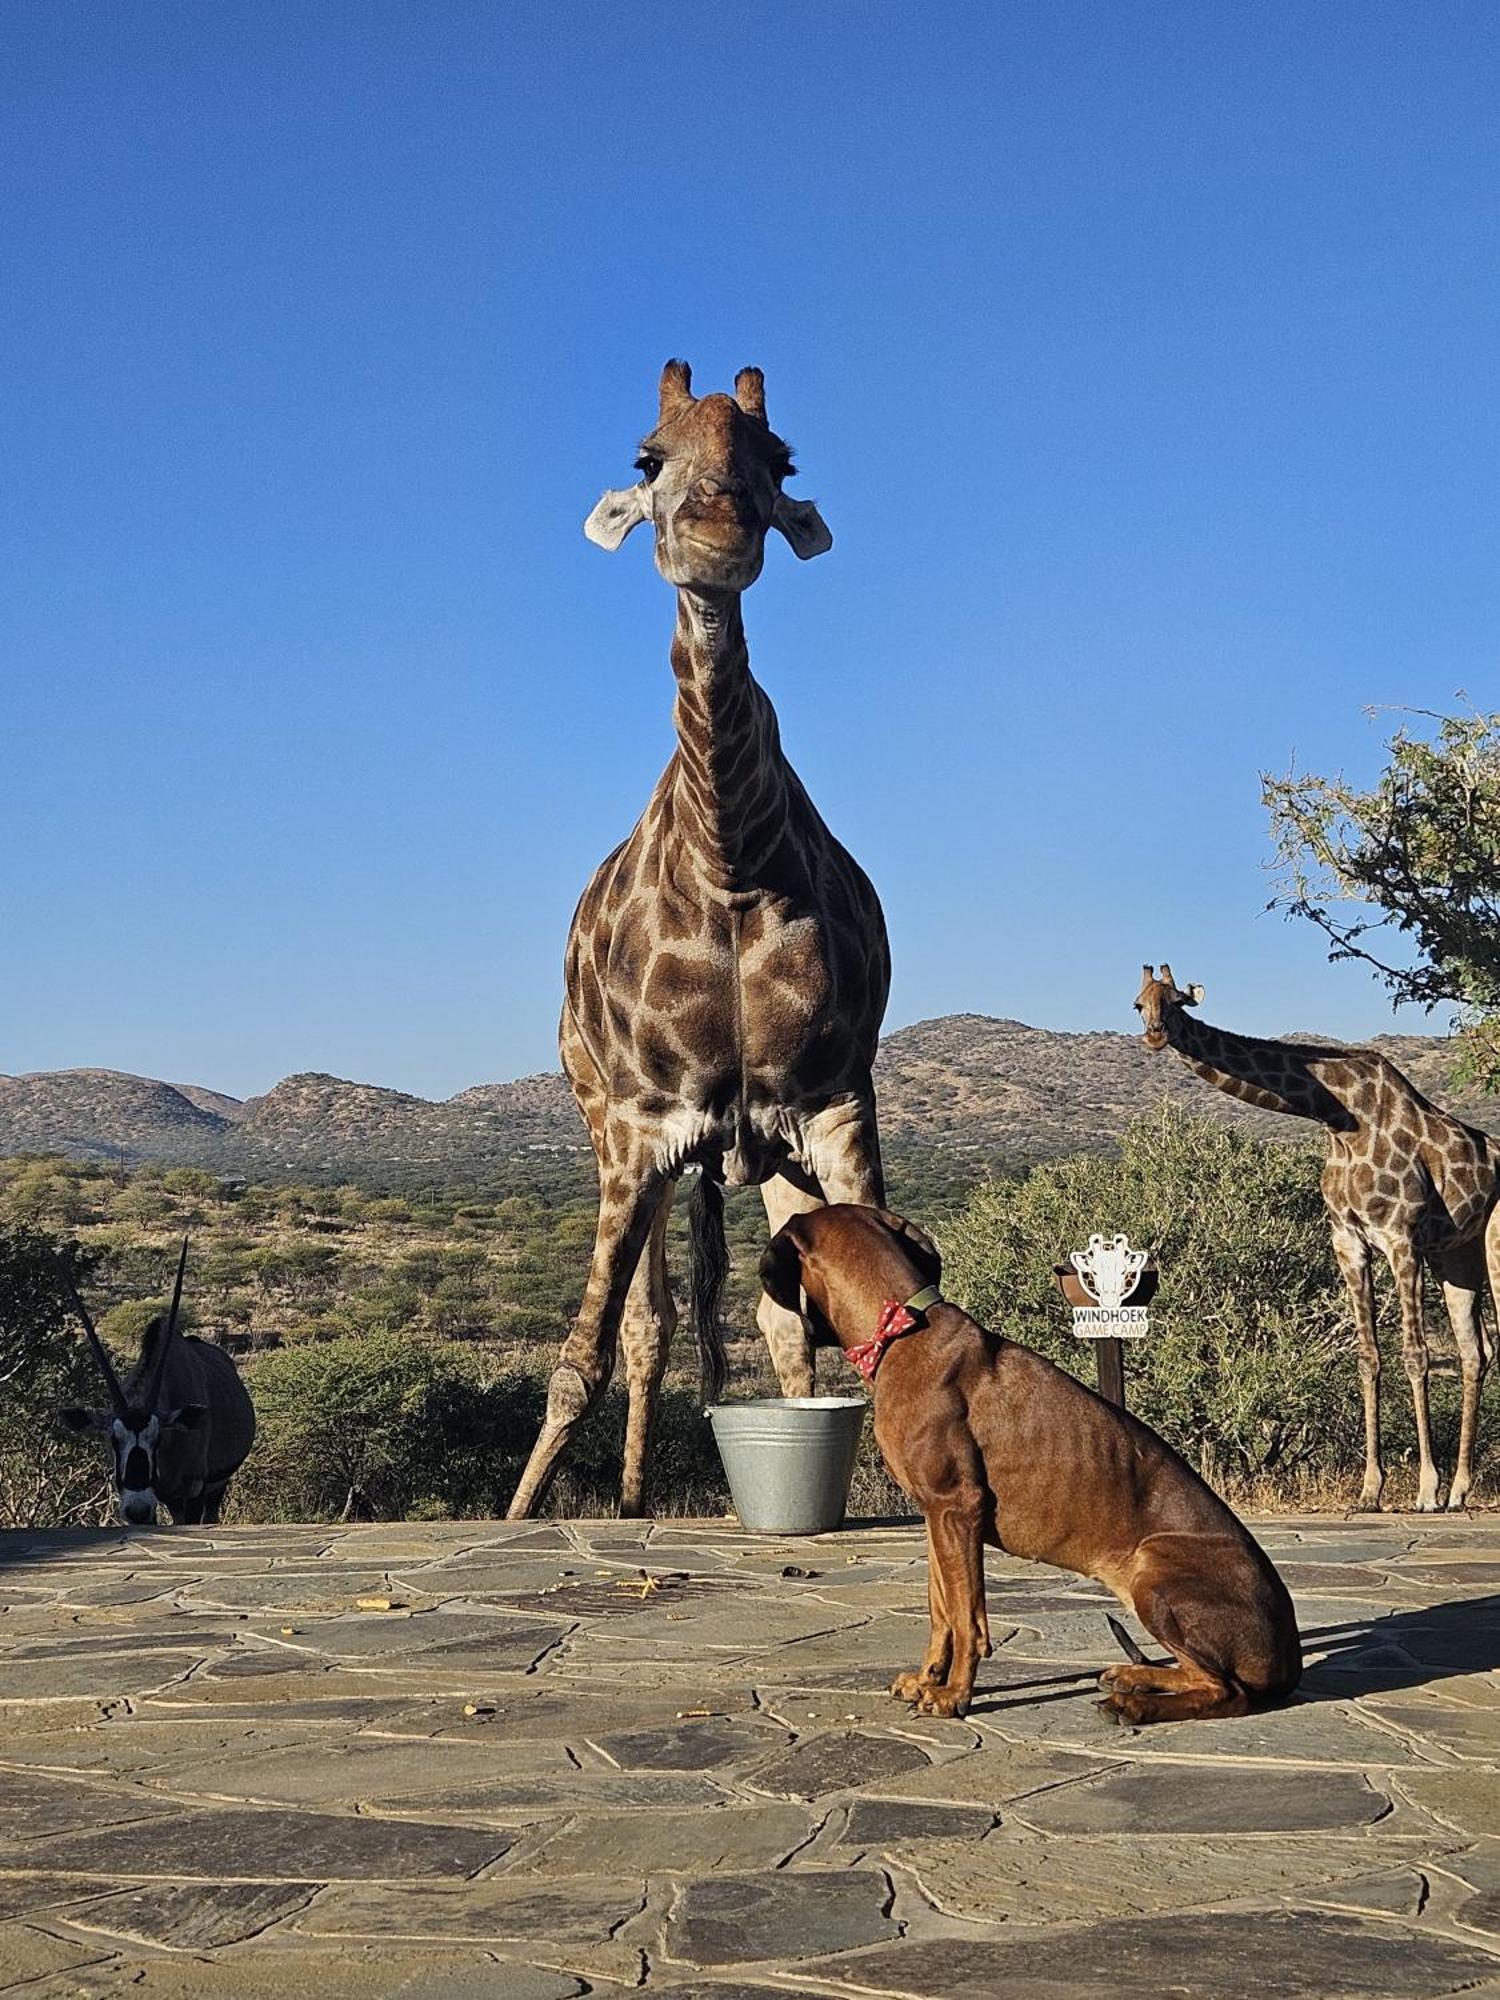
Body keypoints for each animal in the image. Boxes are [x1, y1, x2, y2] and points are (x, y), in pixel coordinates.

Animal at [512, 360, 900, 1512]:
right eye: (648, 457)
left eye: (777, 460)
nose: (718, 531)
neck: (729, 857)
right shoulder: (643, 1125)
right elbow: (581, 1358)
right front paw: (518, 1514)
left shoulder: (832, 1102)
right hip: (608, 1126)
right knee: (649, 1324)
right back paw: (633, 1499)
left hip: (760, 1149)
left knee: (771, 1317)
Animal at [764, 1200, 1304, 1720]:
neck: (902, 1331)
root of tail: (1292, 1658)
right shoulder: (936, 1516)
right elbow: (941, 1609)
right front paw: (926, 1679)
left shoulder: (956, 1507)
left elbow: (967, 1618)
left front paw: (953, 1696)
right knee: (1199, 1675)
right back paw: (1134, 1677)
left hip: (1154, 1570)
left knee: (1227, 1692)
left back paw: (1136, 1703)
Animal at [1136, 960, 1500, 1504]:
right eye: (1140, 1003)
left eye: (1178, 1002)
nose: (1156, 1033)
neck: (1339, 1119)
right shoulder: (1349, 1242)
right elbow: (1368, 1357)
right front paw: (1371, 1490)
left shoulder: (1400, 1237)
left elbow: (1415, 1356)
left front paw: (1424, 1489)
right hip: (1457, 1256)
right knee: (1475, 1353)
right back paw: (1460, 1489)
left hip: (1493, 1243)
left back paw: (1448, 1490)